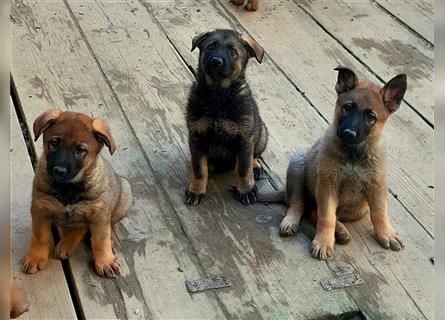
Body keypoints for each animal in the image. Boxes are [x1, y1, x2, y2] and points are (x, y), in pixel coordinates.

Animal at [23, 110, 132, 278]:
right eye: (55, 142)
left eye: (80, 150)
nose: (59, 171)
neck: (68, 187)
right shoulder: (40, 209)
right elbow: (40, 236)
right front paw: (35, 257)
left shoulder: (99, 216)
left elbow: (100, 240)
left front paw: (105, 261)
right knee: (79, 228)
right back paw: (66, 244)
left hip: (125, 195)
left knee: (99, 227)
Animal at [184, 29, 268, 205]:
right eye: (210, 47)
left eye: (232, 52)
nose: (216, 61)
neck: (218, 93)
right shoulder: (196, 137)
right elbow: (199, 168)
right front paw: (196, 189)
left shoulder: (244, 138)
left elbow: (243, 168)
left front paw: (246, 190)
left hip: (261, 135)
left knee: (254, 155)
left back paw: (256, 166)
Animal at [262, 67, 408, 260]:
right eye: (348, 107)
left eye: (371, 117)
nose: (349, 133)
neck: (354, 153)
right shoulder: (327, 185)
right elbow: (326, 217)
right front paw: (324, 241)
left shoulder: (377, 186)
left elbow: (380, 212)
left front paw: (386, 233)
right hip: (298, 164)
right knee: (299, 203)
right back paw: (292, 221)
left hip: (357, 210)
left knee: (313, 211)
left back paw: (341, 232)